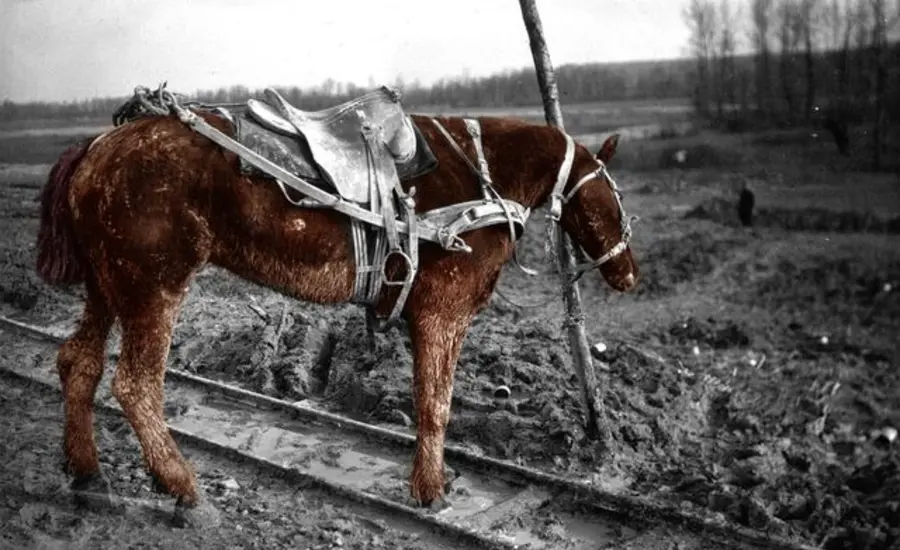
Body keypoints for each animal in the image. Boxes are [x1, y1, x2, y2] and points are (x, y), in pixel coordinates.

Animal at [35, 109, 639, 527]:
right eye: (613, 196)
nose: (629, 274)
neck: (481, 182)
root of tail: (95, 147)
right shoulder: (443, 313)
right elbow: (435, 405)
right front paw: (431, 490)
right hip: (153, 288)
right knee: (136, 384)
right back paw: (183, 488)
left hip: (107, 287)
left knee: (78, 363)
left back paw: (88, 475)